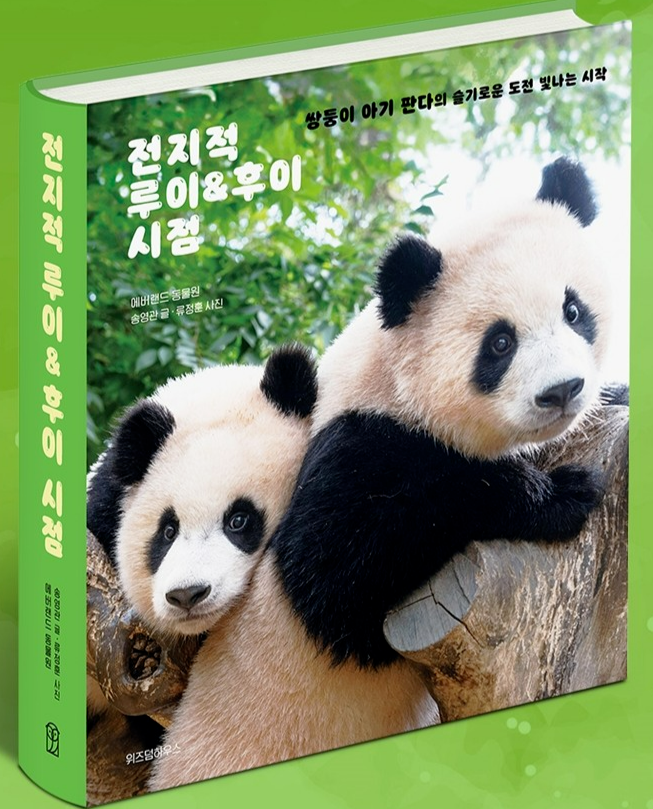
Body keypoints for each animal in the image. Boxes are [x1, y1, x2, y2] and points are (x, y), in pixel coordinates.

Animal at [149, 158, 612, 790]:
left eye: (573, 310)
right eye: (499, 342)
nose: (563, 391)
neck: (393, 380)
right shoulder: (352, 446)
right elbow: (336, 568)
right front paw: (560, 494)